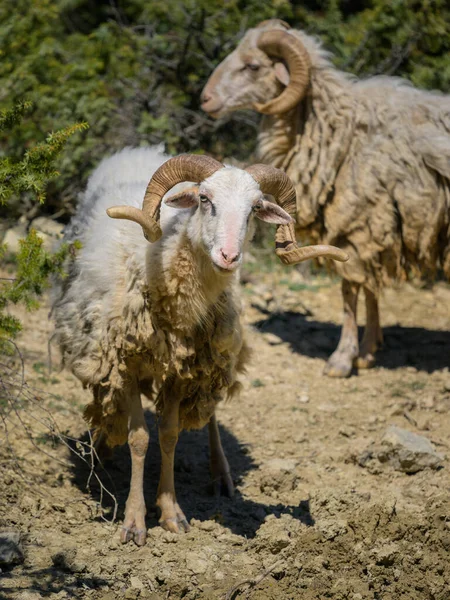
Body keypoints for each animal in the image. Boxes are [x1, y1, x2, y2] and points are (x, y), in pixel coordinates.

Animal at [51, 145, 344, 544]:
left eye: (255, 208)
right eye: (205, 200)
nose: (229, 256)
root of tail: (139, 149)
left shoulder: (182, 368)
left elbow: (170, 436)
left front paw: (171, 512)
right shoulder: (126, 362)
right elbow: (140, 439)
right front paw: (134, 520)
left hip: (216, 348)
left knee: (210, 412)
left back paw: (220, 473)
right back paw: (101, 443)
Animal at [201, 21, 450, 378]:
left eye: (253, 66)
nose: (205, 99)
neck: (334, 130)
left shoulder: (361, 223)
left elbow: (351, 290)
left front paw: (343, 358)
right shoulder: (370, 231)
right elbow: (370, 289)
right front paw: (369, 349)